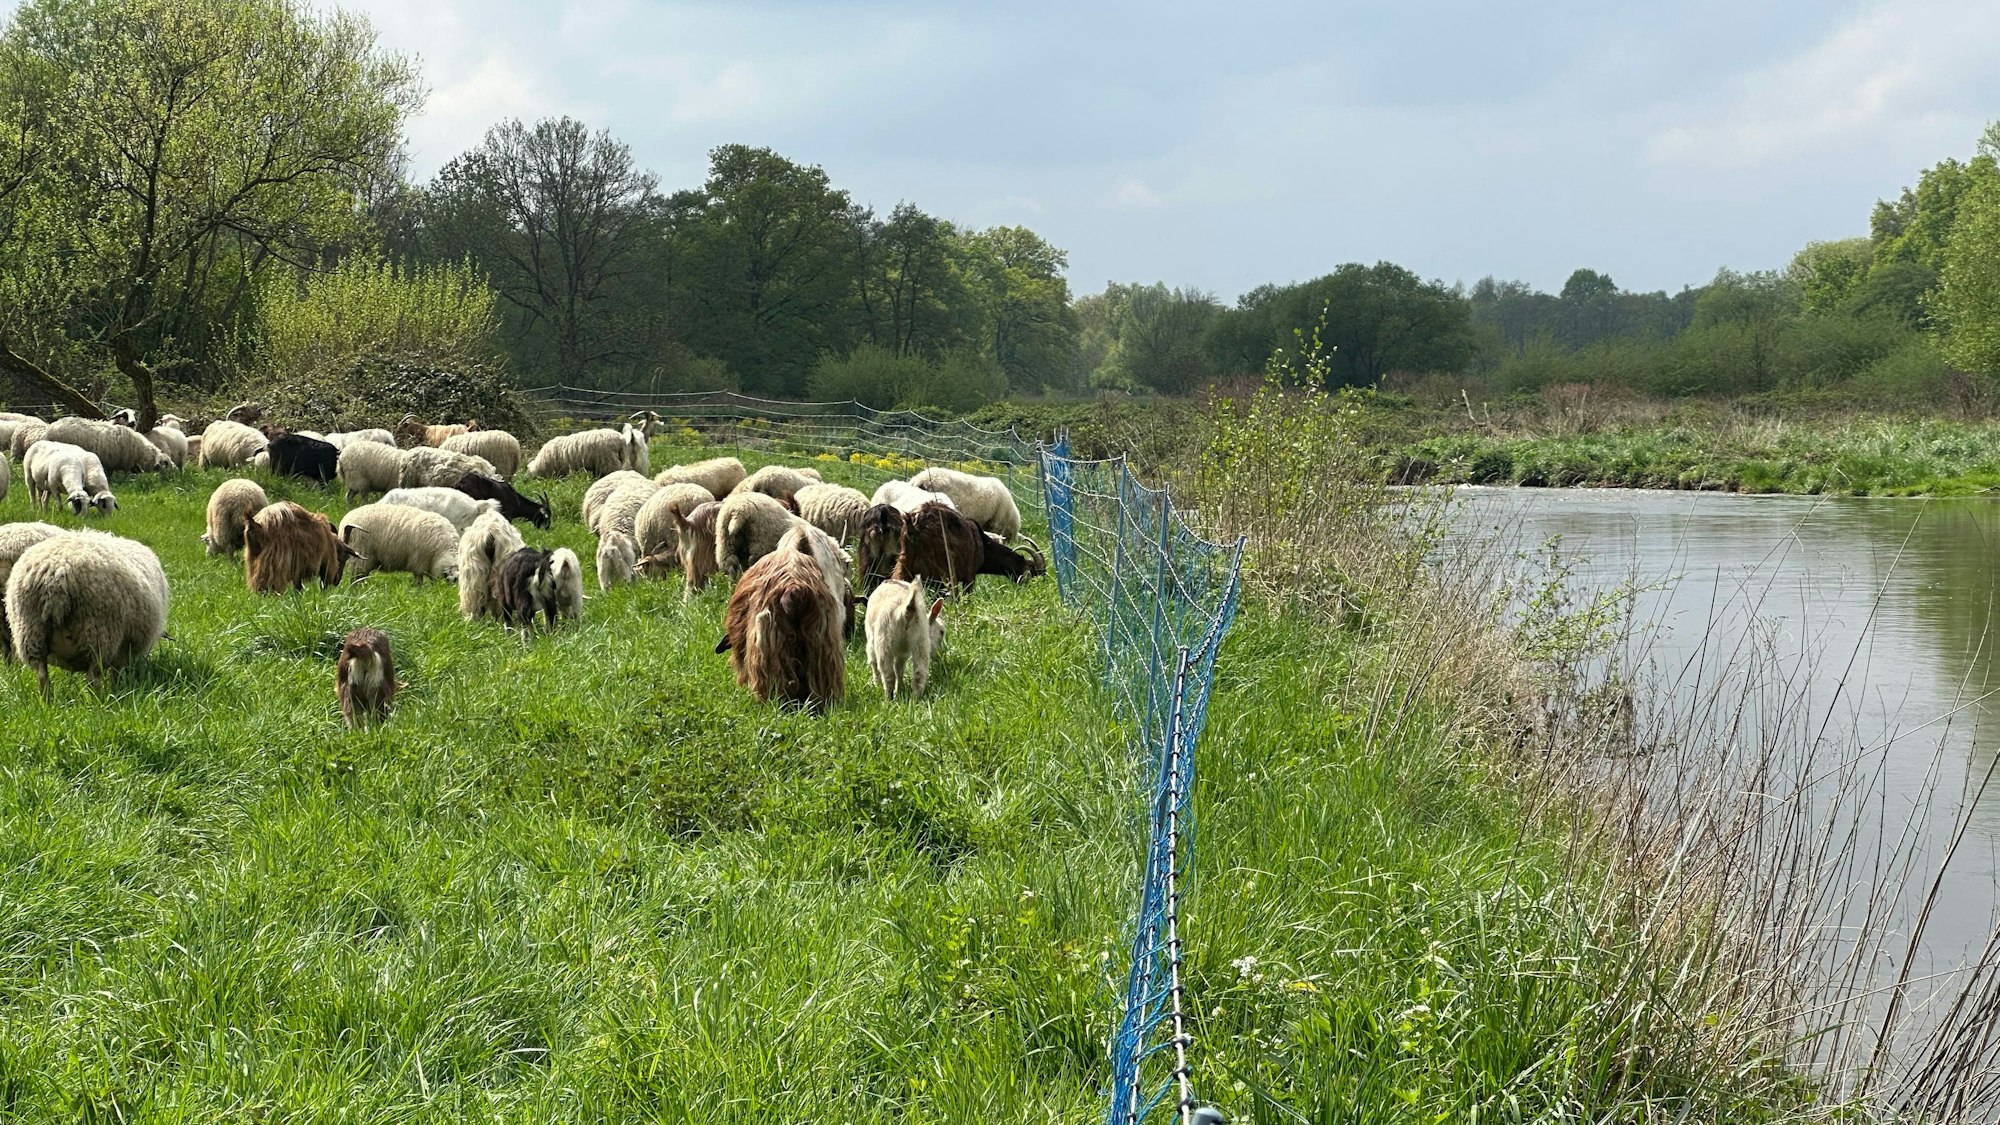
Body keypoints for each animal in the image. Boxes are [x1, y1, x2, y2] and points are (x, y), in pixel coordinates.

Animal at [7, 530, 168, 698]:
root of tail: (57, 576)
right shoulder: (124, 650)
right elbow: (116, 675)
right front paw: (119, 689)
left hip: (31, 633)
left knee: (42, 675)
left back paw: (45, 702)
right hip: (98, 632)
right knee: (94, 677)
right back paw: (99, 702)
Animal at [892, 502, 1046, 593]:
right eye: (1034, 572)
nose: (1036, 590)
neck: (983, 545)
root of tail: (914, 526)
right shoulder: (969, 576)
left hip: (903, 568)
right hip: (945, 574)